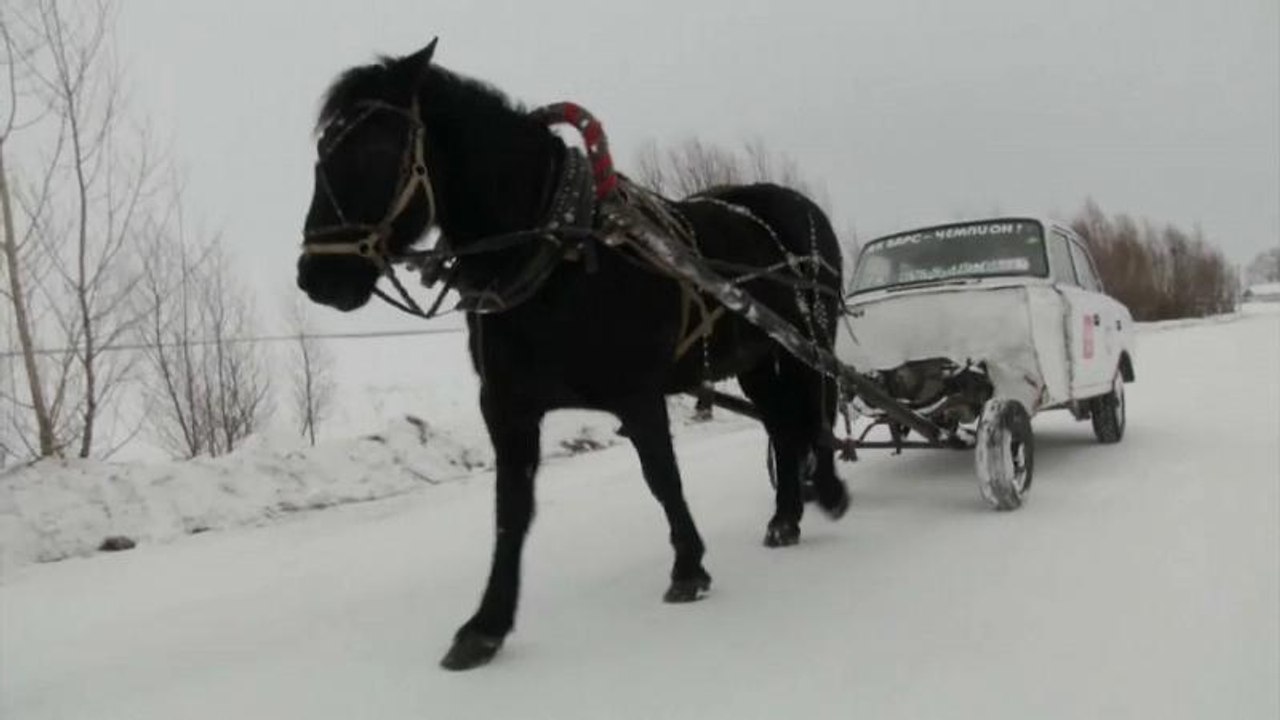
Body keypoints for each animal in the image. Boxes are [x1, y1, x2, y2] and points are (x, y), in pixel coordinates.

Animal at [296, 38, 850, 670]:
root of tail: (795, 204)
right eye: (322, 150)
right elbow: (511, 513)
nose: (318, 277)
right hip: (758, 357)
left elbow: (662, 478)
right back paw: (786, 515)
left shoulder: (637, 393)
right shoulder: (507, 407)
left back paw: (829, 490)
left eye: (376, 148)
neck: (554, 250)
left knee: (819, 406)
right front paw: (486, 624)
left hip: (809, 339)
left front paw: (688, 566)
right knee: (783, 424)